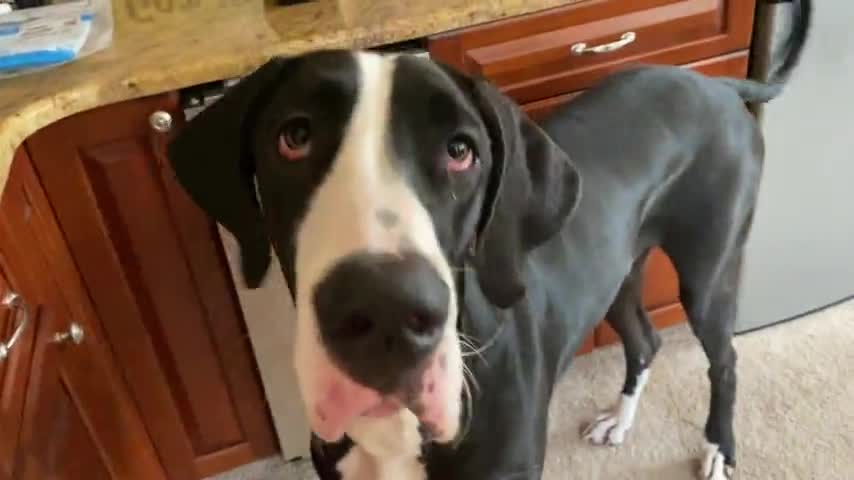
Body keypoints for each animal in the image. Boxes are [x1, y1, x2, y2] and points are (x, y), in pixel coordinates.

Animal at [169, 0, 816, 476]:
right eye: (294, 138)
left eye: (462, 151)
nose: (384, 310)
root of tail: (722, 86)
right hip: (616, 271)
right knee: (644, 339)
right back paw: (620, 418)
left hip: (708, 269)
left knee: (724, 360)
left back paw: (717, 450)